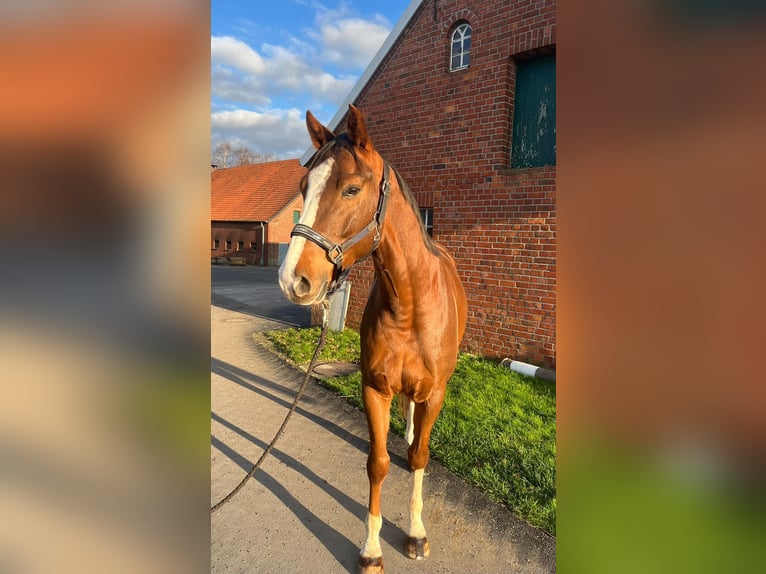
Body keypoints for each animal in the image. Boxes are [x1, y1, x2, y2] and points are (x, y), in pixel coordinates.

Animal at [280, 106, 464, 572]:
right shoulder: (374, 389)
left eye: (350, 189)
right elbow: (377, 464)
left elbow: (420, 459)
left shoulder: (435, 392)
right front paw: (371, 550)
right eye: (304, 188)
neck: (410, 306)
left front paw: (415, 533)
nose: (292, 280)